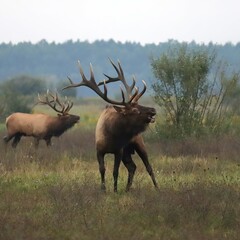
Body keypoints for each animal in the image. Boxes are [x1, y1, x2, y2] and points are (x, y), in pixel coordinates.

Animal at [62, 59, 158, 192]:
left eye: (140, 105)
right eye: (135, 110)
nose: (153, 110)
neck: (112, 135)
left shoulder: (119, 150)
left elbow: (115, 171)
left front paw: (115, 190)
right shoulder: (99, 150)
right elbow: (102, 169)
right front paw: (103, 189)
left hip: (139, 143)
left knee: (148, 167)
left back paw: (157, 188)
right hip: (127, 152)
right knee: (132, 167)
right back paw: (127, 189)